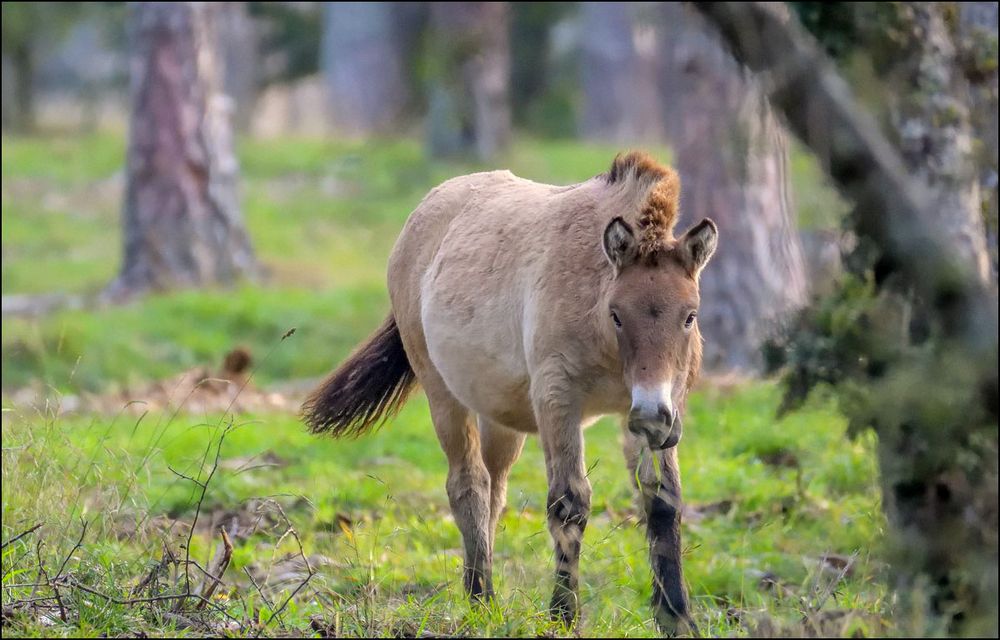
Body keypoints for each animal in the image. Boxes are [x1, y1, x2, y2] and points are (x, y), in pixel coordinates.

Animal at [300, 151, 716, 636]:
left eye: (689, 316)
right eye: (617, 314)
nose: (652, 417)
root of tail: (426, 209)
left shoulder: (658, 407)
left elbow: (662, 502)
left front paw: (677, 617)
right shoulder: (558, 399)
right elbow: (569, 502)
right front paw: (562, 617)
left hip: (501, 418)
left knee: (493, 494)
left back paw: (482, 593)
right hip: (443, 395)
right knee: (468, 486)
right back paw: (480, 600)